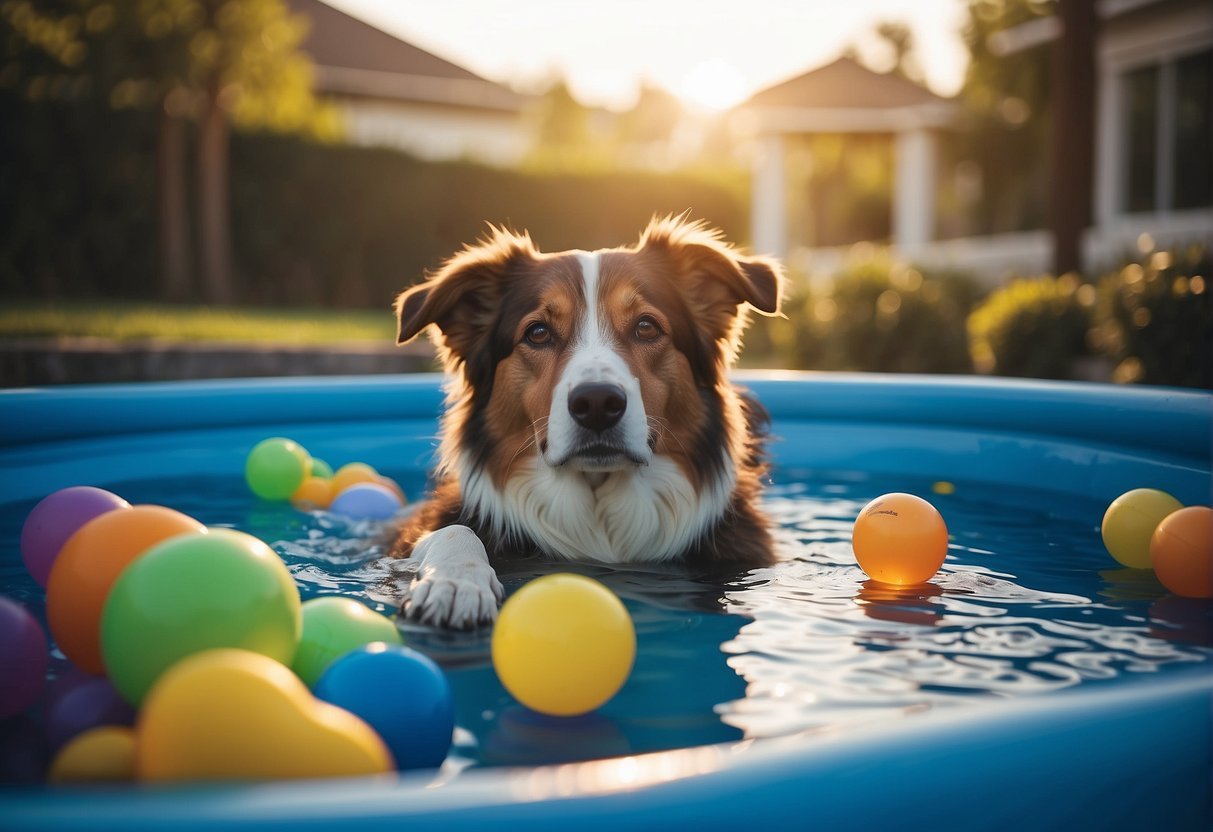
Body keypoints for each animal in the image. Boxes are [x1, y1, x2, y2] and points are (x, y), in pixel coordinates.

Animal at [393, 218, 781, 630]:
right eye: (538, 333)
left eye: (646, 327)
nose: (597, 404)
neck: (598, 521)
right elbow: (456, 529)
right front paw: (455, 582)